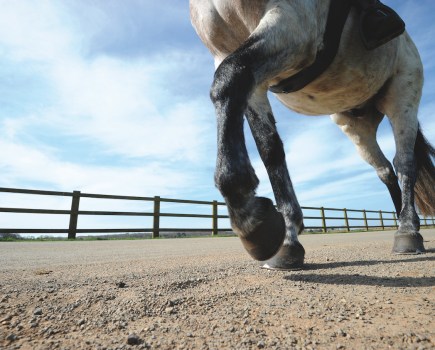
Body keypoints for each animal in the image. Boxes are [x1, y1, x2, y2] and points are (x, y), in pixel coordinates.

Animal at [190, 0, 435, 270]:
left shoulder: (294, 26)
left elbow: (230, 75)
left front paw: (247, 213)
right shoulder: (232, 57)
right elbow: (270, 149)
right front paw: (286, 237)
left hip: (402, 97)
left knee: (405, 163)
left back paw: (408, 230)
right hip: (355, 126)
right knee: (385, 171)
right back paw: (402, 223)